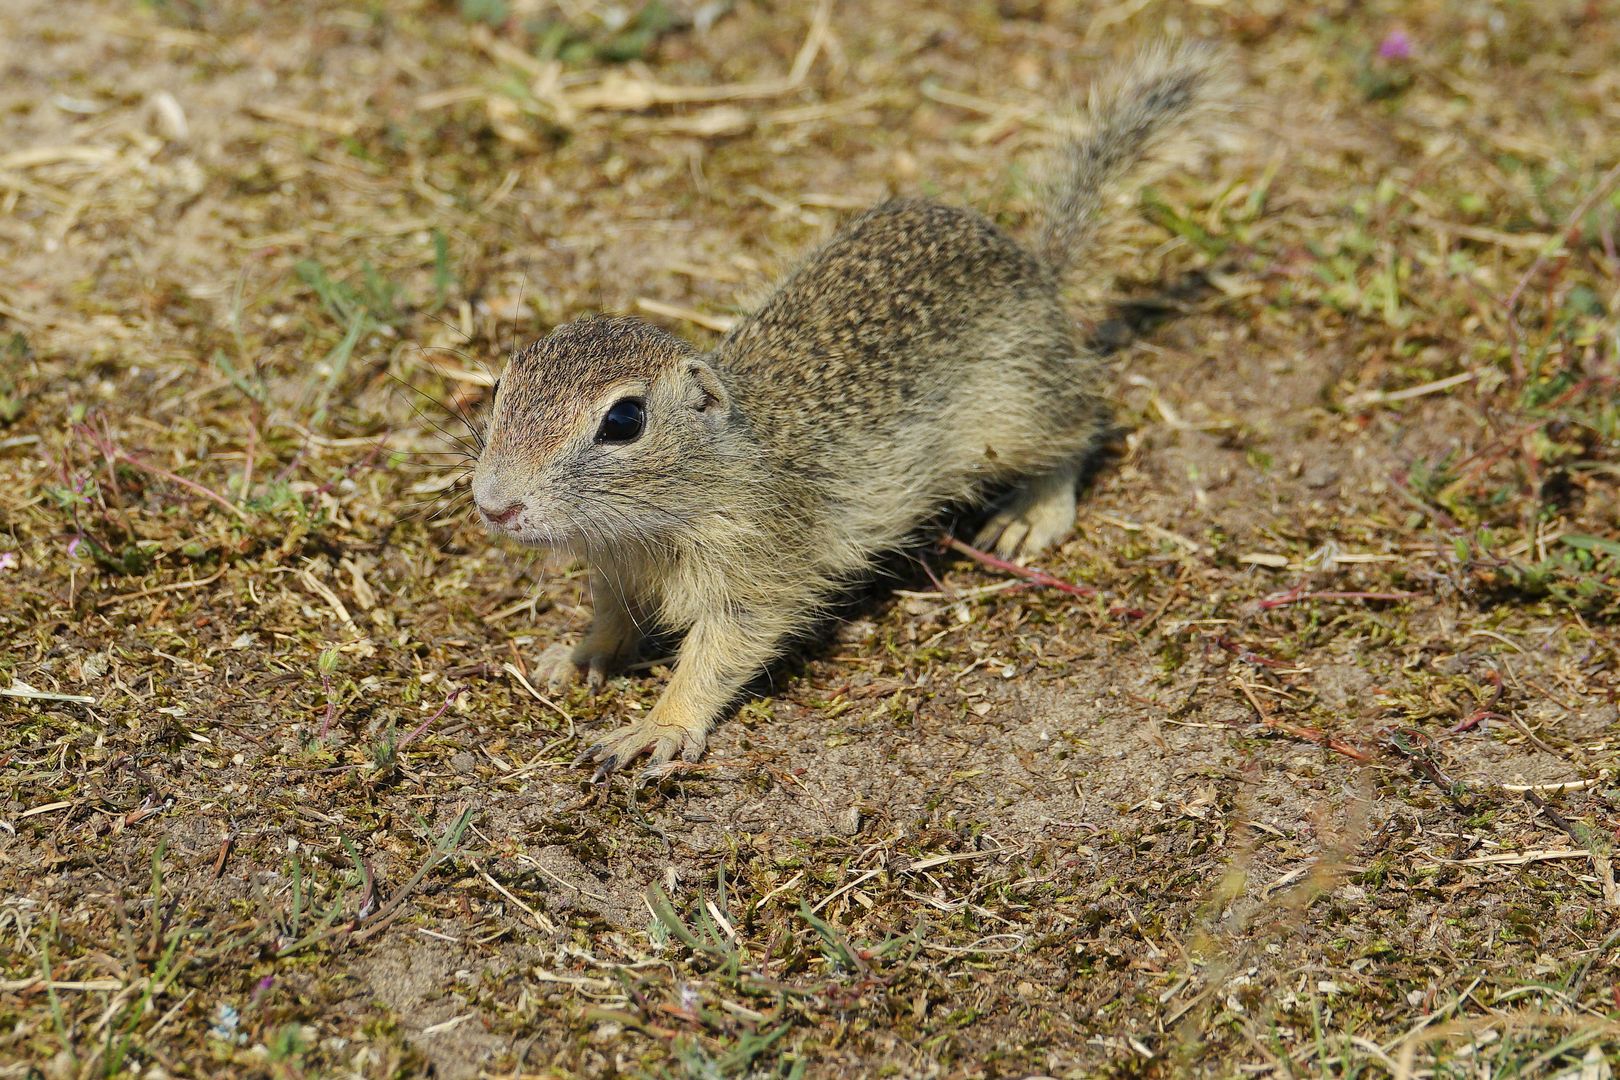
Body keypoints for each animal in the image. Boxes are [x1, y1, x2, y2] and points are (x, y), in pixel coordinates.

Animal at [469, 42, 1224, 780]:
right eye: (504, 382)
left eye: (623, 421)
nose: (493, 506)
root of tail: (1038, 267)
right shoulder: (614, 572)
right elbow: (610, 622)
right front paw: (574, 657)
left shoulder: (756, 567)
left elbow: (719, 654)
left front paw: (659, 727)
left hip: (1021, 415)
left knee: (1082, 426)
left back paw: (1030, 516)